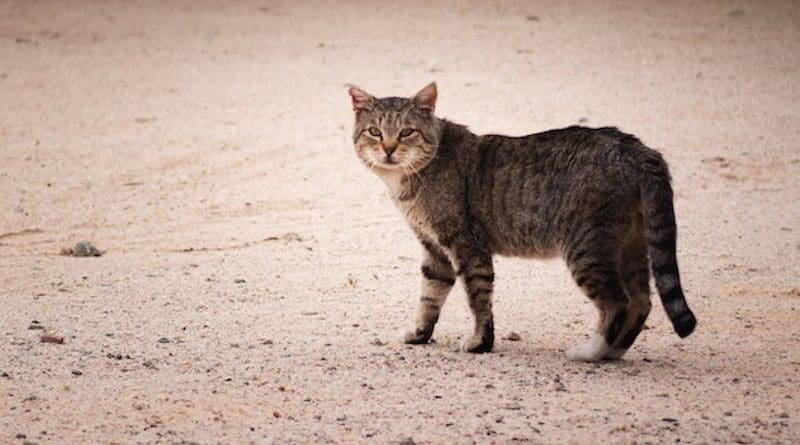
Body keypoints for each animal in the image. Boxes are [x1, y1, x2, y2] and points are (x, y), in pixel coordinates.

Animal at [346, 82, 696, 360]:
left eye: (406, 132)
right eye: (375, 132)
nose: (388, 149)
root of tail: (639, 149)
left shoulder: (467, 247)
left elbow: (478, 300)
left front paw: (479, 343)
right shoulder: (435, 250)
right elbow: (429, 296)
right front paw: (420, 334)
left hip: (586, 249)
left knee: (619, 302)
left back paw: (592, 352)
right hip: (629, 246)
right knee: (641, 302)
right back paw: (613, 352)